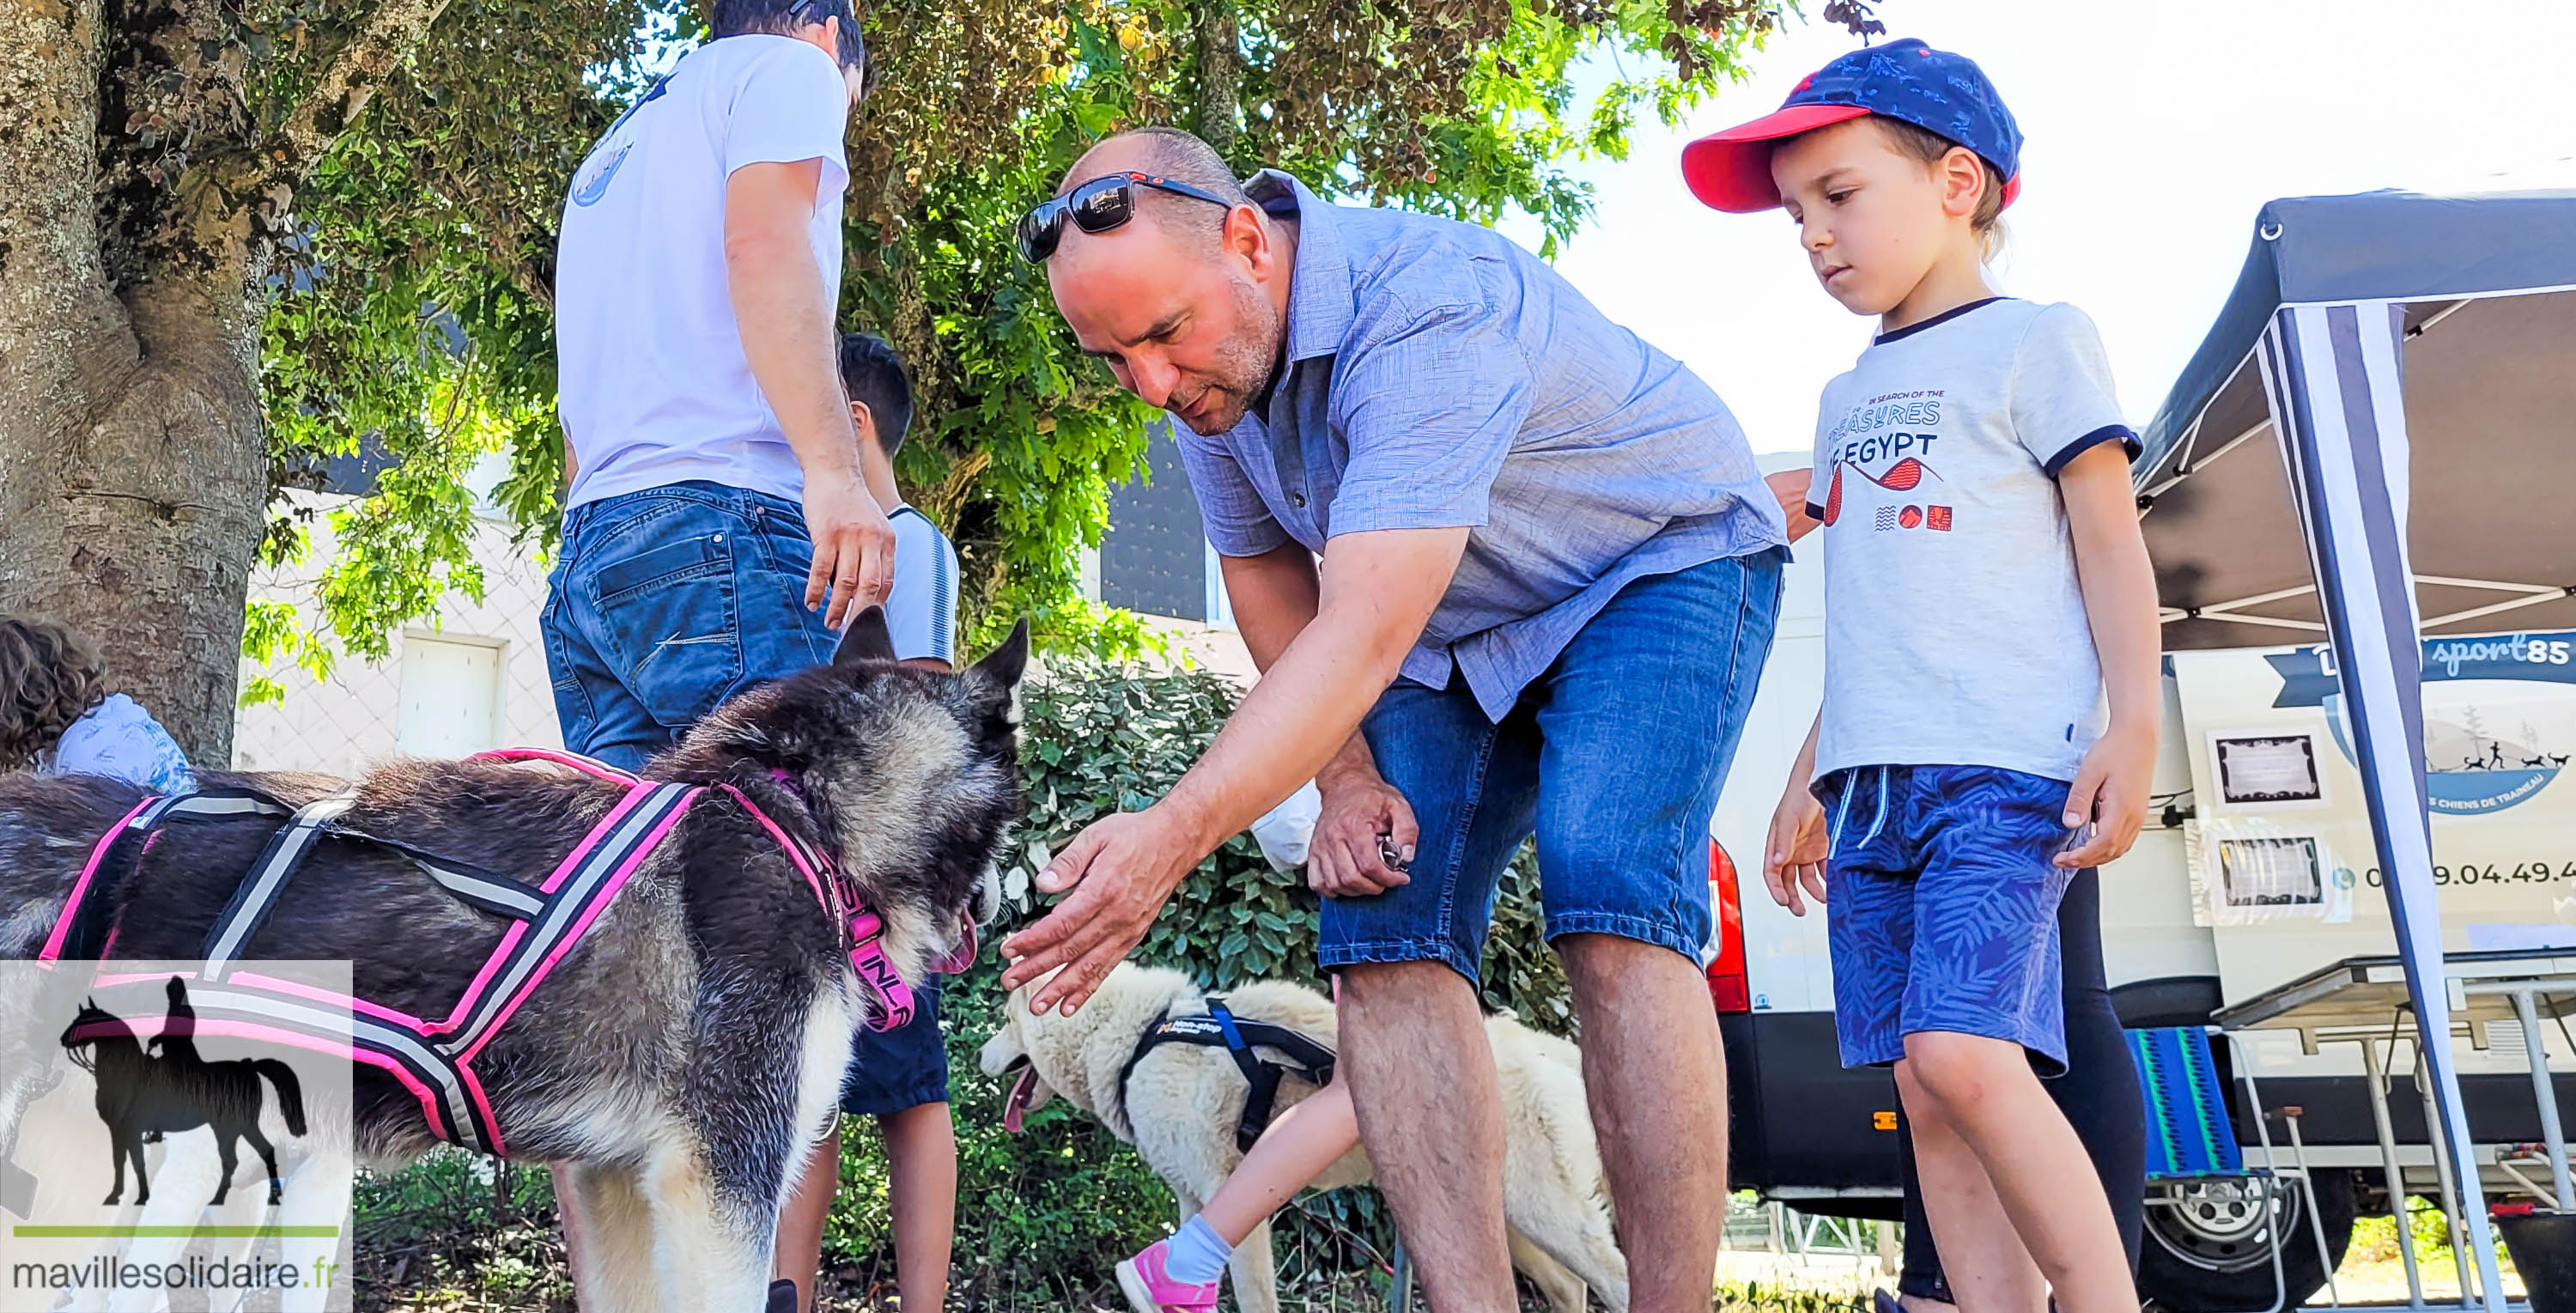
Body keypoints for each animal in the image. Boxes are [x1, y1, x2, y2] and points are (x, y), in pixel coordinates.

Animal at [974, 957, 1618, 1308]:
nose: (978, 1060)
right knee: (1570, 1290)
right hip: (1507, 1225)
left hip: (1546, 1216)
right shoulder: (1192, 1202)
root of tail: (1553, 1050)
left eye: (1004, 1019)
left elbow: (1254, 1298)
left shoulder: (1236, 1208)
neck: (1139, 1037)